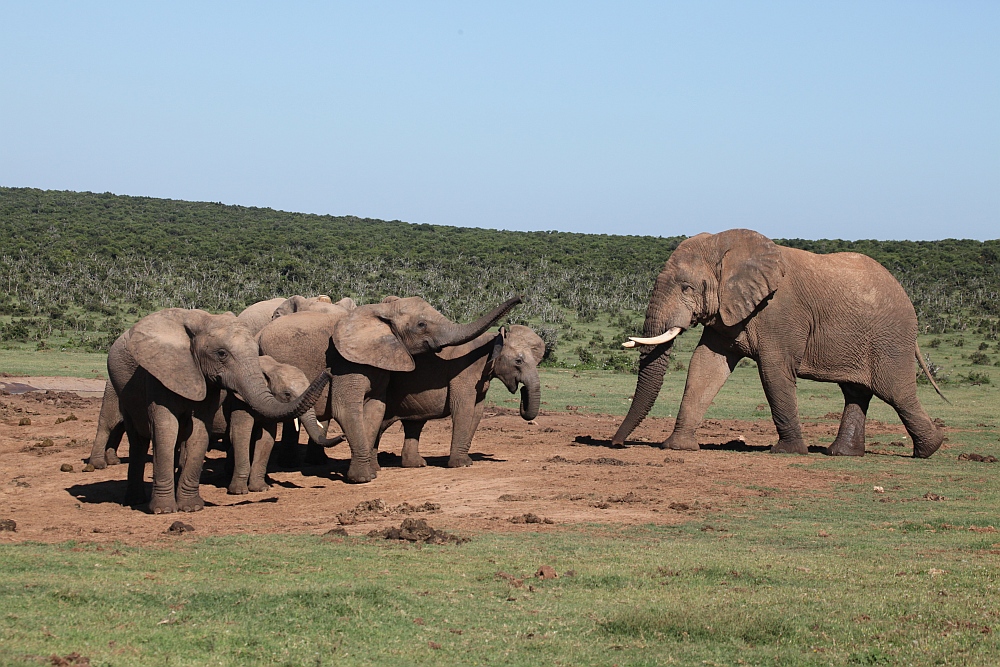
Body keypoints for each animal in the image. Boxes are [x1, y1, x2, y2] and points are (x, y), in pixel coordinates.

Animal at [109, 310, 330, 516]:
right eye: (222, 353)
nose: (328, 371)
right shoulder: (162, 374)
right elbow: (169, 430)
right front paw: (165, 510)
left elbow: (211, 434)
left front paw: (192, 507)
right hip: (122, 394)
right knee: (138, 441)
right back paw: (135, 501)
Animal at [258, 294, 524, 482]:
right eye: (421, 324)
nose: (520, 298)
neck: (381, 312)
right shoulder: (344, 360)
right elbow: (346, 409)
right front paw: (363, 478)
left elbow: (376, 408)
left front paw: (371, 472)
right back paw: (289, 466)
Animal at [376, 324, 548, 470]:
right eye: (518, 361)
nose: (523, 390)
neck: (492, 339)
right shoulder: (463, 371)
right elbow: (463, 408)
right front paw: (461, 465)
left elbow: (477, 411)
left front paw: (466, 462)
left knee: (413, 424)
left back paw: (416, 464)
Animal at [608, 230, 944, 460]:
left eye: (686, 288)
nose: (616, 443)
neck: (726, 246)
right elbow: (705, 365)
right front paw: (677, 447)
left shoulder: (780, 311)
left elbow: (774, 370)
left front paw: (788, 451)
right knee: (856, 392)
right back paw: (842, 454)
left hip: (890, 339)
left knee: (895, 392)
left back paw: (929, 449)